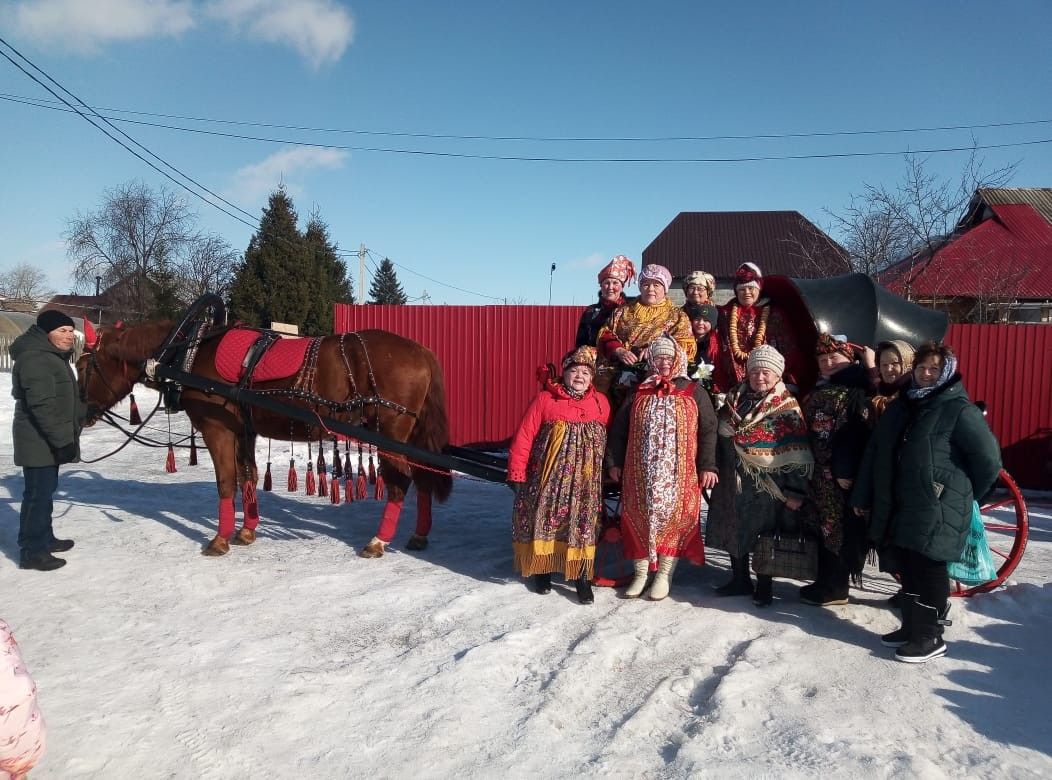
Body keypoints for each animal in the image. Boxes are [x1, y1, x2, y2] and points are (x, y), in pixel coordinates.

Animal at [76, 320, 450, 555]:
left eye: (84, 366)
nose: (83, 414)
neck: (189, 350)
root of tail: (421, 351)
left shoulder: (217, 429)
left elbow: (226, 481)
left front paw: (220, 539)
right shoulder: (244, 430)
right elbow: (248, 477)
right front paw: (246, 530)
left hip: (391, 431)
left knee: (401, 482)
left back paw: (378, 541)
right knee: (423, 478)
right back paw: (418, 535)